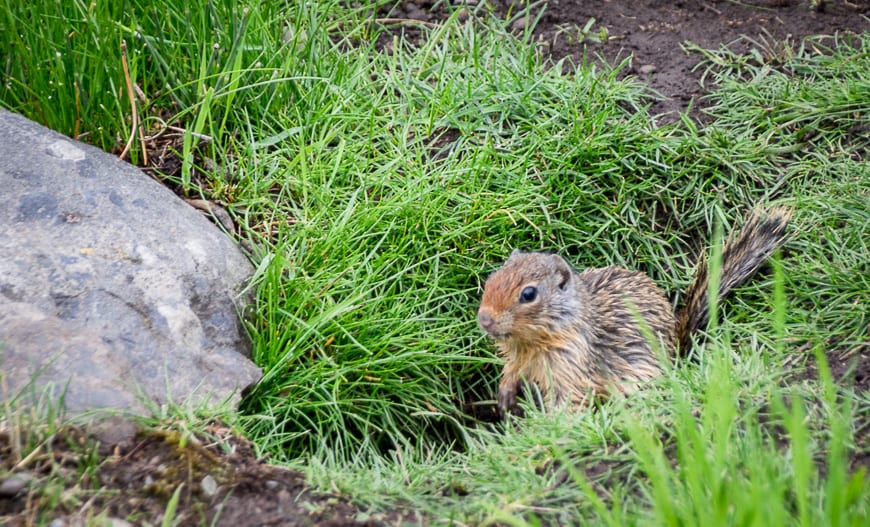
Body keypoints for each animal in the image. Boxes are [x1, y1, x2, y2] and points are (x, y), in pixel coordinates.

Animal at [480, 207, 792, 416]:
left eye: (528, 294)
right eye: (491, 278)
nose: (484, 319)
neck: (532, 344)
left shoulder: (571, 366)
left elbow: (570, 401)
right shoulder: (520, 359)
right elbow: (511, 372)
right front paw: (504, 397)